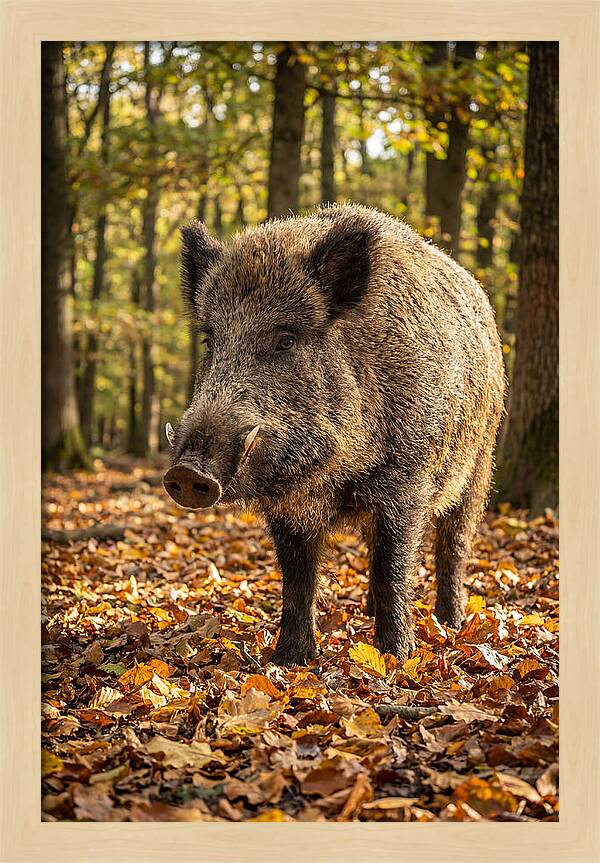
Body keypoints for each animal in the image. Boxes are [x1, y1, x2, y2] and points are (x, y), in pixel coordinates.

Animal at [163, 204, 505, 666]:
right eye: (210, 341)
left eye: (286, 340)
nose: (186, 472)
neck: (332, 474)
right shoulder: (288, 508)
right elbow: (298, 579)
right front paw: (289, 660)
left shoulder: (407, 482)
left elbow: (394, 567)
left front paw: (395, 658)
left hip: (479, 463)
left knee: (453, 545)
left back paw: (450, 623)